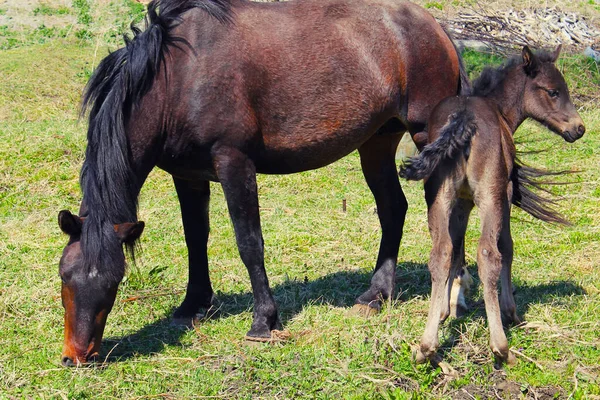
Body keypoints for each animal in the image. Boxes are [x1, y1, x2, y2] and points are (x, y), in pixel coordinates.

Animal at [56, 0, 468, 366]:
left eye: (113, 281)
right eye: (65, 277)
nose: (77, 356)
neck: (178, 77)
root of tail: (435, 27)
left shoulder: (234, 163)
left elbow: (249, 242)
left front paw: (263, 321)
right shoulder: (188, 176)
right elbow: (195, 238)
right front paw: (193, 304)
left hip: (426, 136)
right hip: (377, 142)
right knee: (393, 209)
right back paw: (376, 295)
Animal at [400, 46, 584, 366]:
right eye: (553, 91)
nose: (579, 128)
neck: (498, 109)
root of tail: (463, 118)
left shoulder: (461, 202)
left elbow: (456, 249)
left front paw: (446, 309)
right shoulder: (504, 193)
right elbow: (506, 246)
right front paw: (511, 312)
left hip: (439, 196)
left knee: (440, 252)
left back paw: (425, 346)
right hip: (490, 196)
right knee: (489, 254)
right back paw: (501, 345)